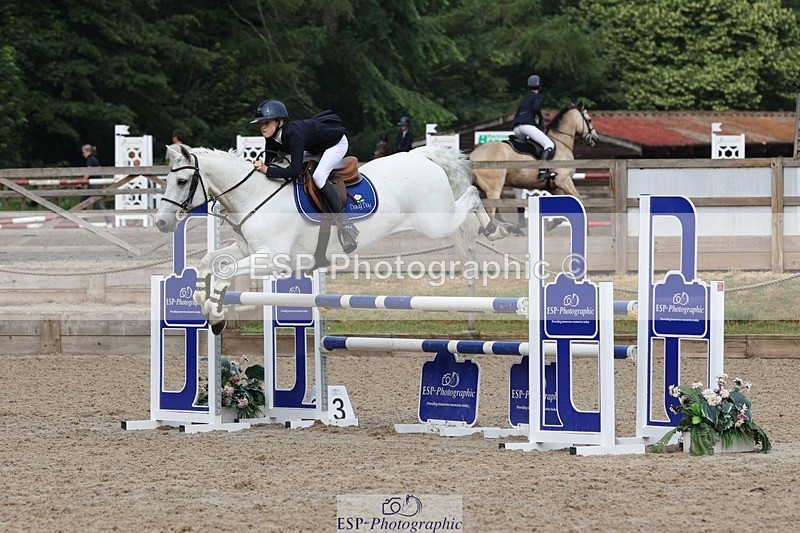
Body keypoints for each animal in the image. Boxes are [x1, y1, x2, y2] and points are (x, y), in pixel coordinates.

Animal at [155, 145, 519, 332]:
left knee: (471, 196)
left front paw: (216, 313)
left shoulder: (275, 260)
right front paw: (203, 301)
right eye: (167, 180)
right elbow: (209, 261)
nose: (160, 222)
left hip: (435, 222)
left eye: (183, 180)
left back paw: (497, 229)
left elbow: (225, 270)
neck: (255, 195)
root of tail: (422, 155)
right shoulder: (247, 250)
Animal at [469, 102, 598, 220]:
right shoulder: (564, 181)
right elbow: (580, 201)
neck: (561, 143)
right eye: (589, 120)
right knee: (490, 211)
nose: (595, 139)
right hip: (493, 189)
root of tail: (473, 154)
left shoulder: (554, 187)